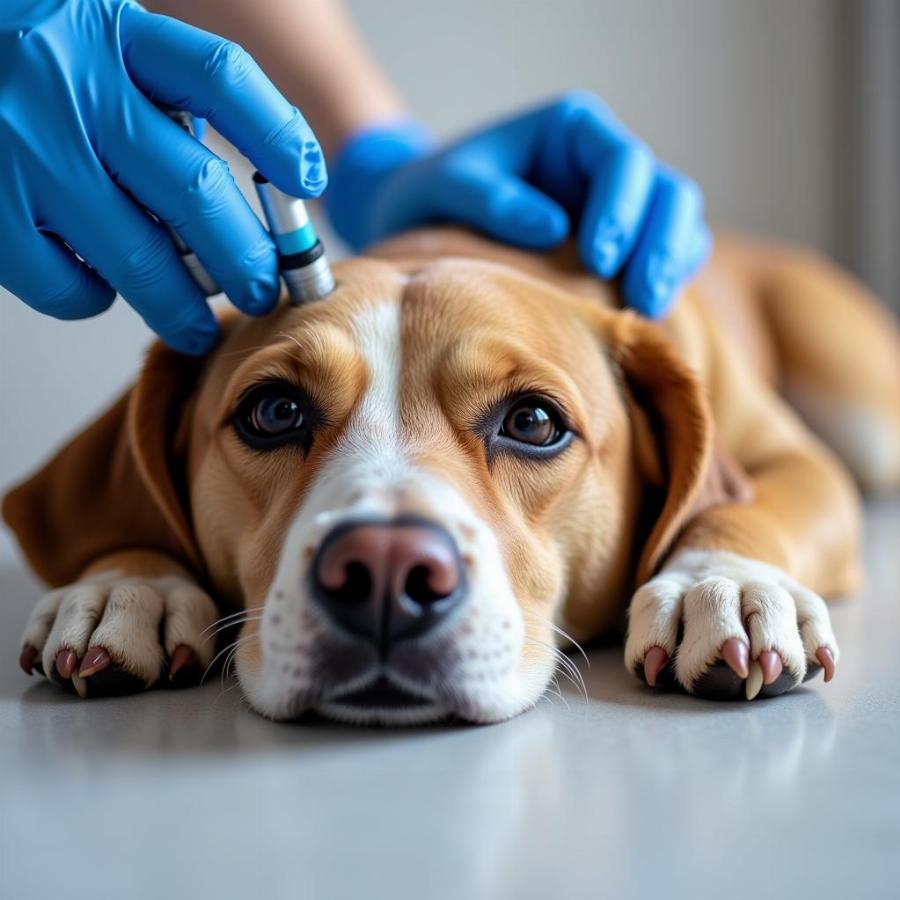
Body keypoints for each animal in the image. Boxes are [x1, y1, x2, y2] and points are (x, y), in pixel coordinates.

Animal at [1, 227, 900, 724]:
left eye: (533, 423)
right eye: (275, 412)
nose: (384, 571)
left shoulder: (797, 462)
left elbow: (734, 507)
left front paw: (723, 584)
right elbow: (126, 520)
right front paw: (128, 584)